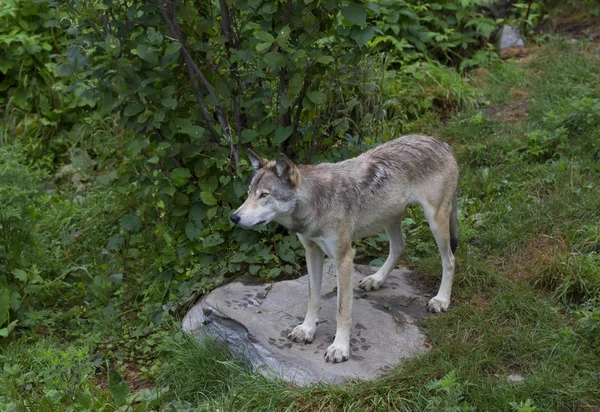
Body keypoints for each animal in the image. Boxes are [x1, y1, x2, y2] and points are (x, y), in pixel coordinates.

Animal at [230, 134, 460, 362]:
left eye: (264, 195)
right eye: (249, 193)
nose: (234, 217)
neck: (315, 204)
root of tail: (441, 142)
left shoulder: (344, 258)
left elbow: (342, 310)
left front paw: (339, 348)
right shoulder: (312, 253)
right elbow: (312, 298)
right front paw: (307, 330)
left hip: (435, 222)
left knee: (449, 259)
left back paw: (441, 300)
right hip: (389, 219)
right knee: (399, 247)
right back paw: (376, 280)